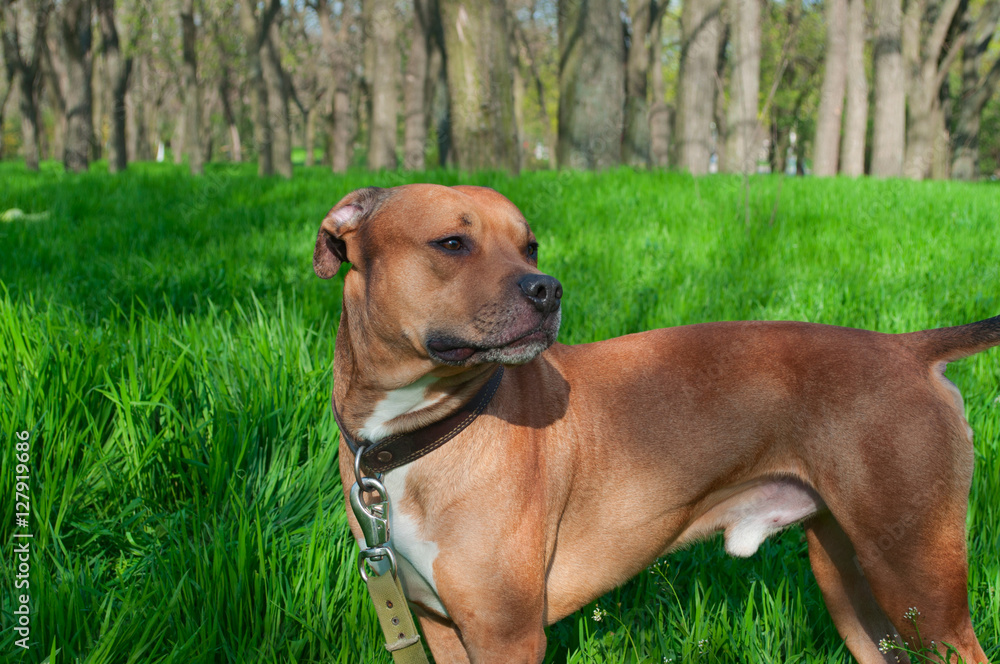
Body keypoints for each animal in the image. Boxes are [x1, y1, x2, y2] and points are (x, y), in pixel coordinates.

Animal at [316, 183, 996, 664]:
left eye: (530, 246)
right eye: (451, 244)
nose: (547, 289)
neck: (414, 435)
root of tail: (907, 348)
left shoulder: (507, 637)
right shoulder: (439, 626)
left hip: (919, 584)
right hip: (855, 593)